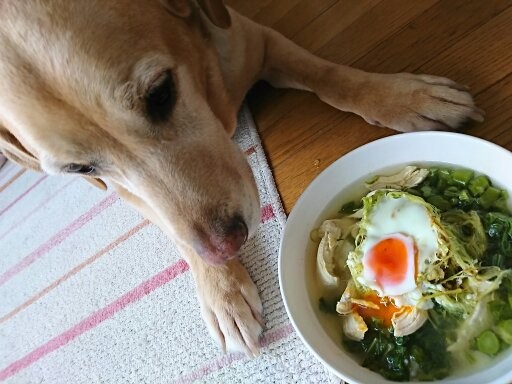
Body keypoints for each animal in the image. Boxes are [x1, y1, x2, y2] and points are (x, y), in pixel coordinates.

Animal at [0, 0, 484, 356]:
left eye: (160, 93)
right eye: (81, 169)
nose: (226, 247)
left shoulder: (254, 38)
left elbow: (330, 75)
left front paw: (403, 96)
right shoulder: (119, 189)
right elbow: (176, 231)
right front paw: (224, 294)